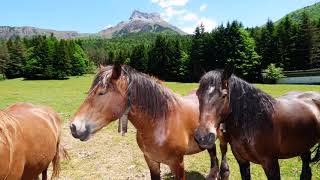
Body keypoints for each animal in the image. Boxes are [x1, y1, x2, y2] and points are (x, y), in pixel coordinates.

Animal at [69, 64, 230, 180]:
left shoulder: (178, 164)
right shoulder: (151, 161)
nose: (73, 127)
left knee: (222, 157)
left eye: (102, 92)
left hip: (223, 138)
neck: (161, 124)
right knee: (212, 153)